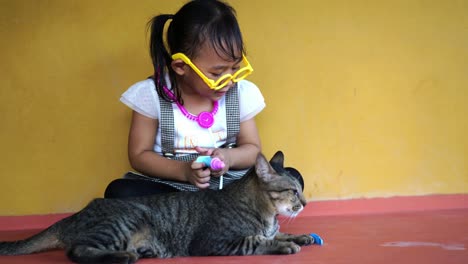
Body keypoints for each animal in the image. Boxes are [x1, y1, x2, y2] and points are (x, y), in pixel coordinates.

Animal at [0, 152, 314, 262]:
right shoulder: (215, 241)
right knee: (77, 251)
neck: (267, 215)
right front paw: (283, 245)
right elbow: (257, 240)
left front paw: (301, 236)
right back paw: (124, 257)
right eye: (294, 192)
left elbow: (279, 233)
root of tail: (77, 214)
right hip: (124, 222)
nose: (305, 203)